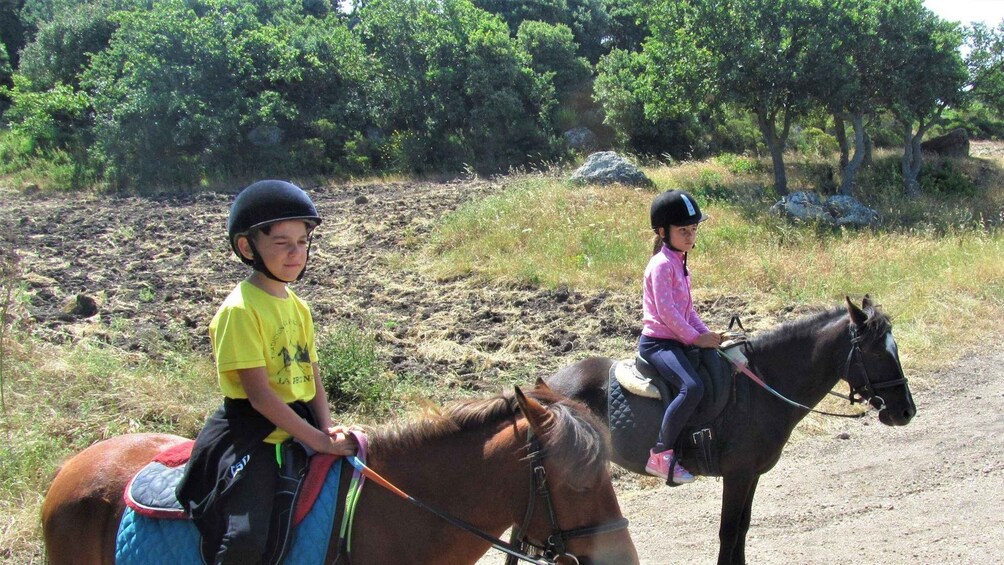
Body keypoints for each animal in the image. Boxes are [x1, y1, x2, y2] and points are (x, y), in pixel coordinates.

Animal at [550, 299, 919, 561]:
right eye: (876, 352)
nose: (906, 411)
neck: (762, 386)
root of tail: (548, 386)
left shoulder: (751, 474)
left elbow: (741, 529)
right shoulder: (738, 474)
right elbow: (728, 532)